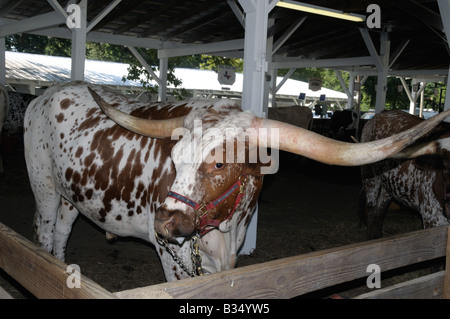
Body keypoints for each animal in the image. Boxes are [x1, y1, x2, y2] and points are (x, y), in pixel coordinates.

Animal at [360, 109, 450, 238]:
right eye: (446, 165)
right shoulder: (431, 218)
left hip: (389, 184)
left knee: (381, 208)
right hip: (369, 176)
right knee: (371, 210)